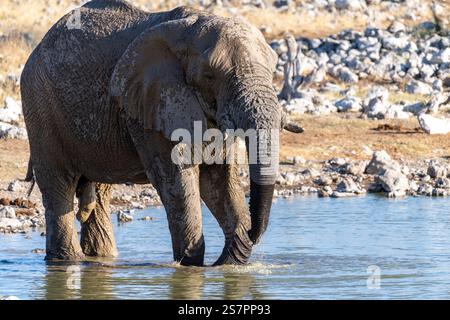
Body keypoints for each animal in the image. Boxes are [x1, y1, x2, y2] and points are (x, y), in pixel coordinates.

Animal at [22, 0, 282, 264]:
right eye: (210, 76)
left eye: (272, 71)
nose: (252, 232)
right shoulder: (152, 104)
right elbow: (176, 180)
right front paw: (188, 265)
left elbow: (218, 179)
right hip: (40, 104)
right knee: (58, 184)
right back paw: (67, 260)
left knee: (101, 189)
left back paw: (102, 257)